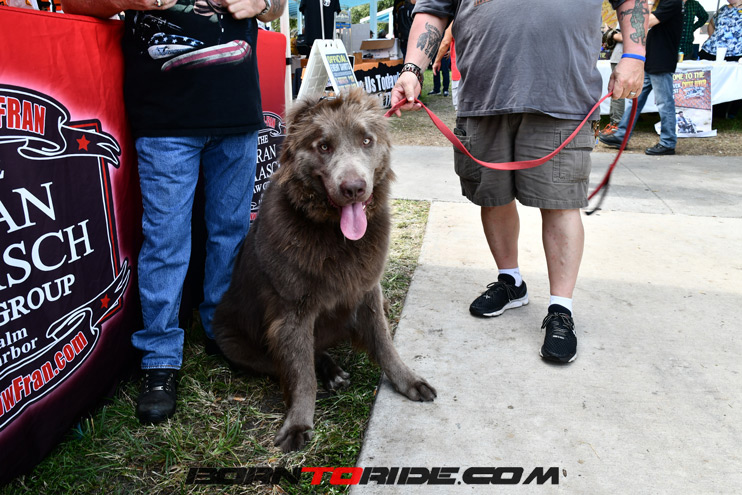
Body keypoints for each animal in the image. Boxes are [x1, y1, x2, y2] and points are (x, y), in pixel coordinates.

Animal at [212, 88, 437, 452]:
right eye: (324, 146)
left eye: (366, 140)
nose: (354, 188)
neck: (336, 236)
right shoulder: (292, 313)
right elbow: (302, 375)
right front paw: (298, 424)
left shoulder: (369, 293)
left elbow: (385, 344)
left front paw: (408, 381)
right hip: (234, 343)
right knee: (299, 358)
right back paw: (329, 371)